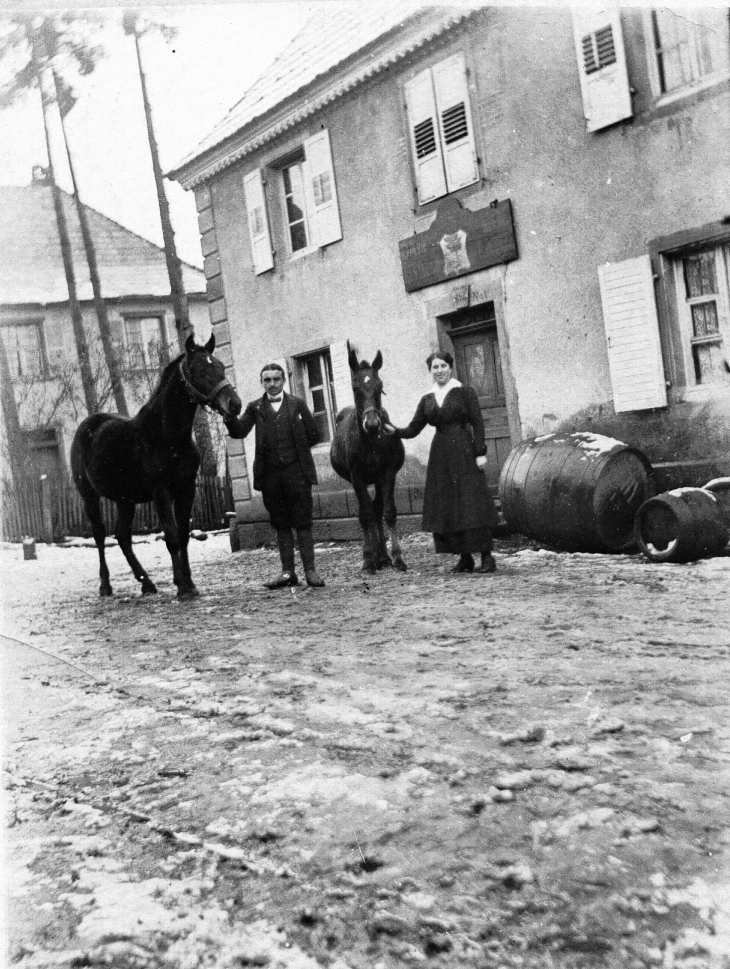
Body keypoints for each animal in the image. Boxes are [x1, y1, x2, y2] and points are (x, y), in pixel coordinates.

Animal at [68, 338, 240, 596]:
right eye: (200, 370)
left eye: (220, 366)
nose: (234, 404)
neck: (168, 436)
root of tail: (86, 426)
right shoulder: (161, 493)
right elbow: (171, 536)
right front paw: (182, 587)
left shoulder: (186, 490)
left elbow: (183, 535)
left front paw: (190, 584)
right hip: (89, 496)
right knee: (99, 535)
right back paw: (105, 586)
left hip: (125, 500)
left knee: (122, 537)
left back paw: (147, 583)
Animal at [328, 350, 404, 572]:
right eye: (354, 388)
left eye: (380, 386)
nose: (372, 424)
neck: (371, 441)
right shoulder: (357, 476)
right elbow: (364, 515)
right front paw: (368, 559)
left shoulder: (387, 473)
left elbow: (388, 511)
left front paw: (397, 557)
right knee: (368, 510)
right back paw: (374, 556)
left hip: (377, 479)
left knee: (376, 508)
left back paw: (383, 556)